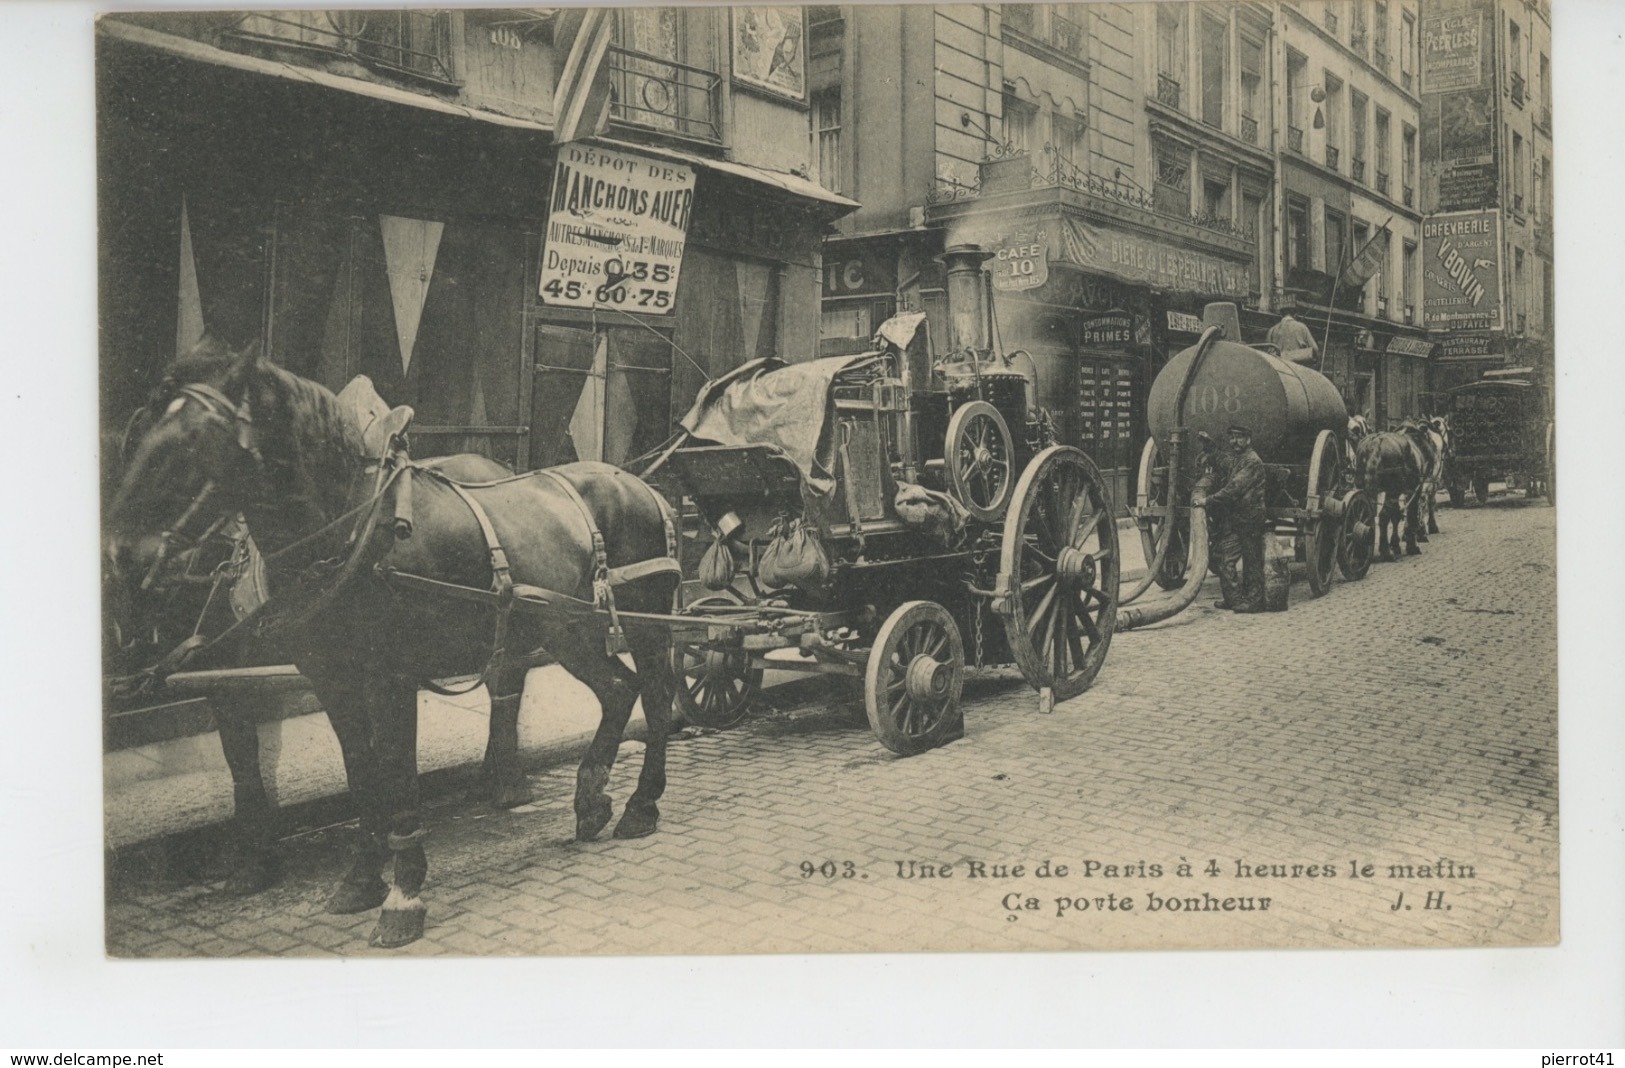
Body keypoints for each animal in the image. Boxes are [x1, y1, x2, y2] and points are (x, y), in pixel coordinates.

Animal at [106, 339, 679, 942]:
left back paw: (640, 806)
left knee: (656, 694)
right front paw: (360, 878)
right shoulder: (331, 679)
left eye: (196, 440)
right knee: (618, 689)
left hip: (641, 620)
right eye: (142, 431)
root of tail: (644, 486)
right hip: (566, 630)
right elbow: (361, 773)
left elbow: (398, 773)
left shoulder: (391, 677)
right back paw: (590, 800)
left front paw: (403, 894)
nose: (121, 554)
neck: (353, 530)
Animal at [1345, 425, 1423, 559]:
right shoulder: (1413, 490)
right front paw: (1411, 546)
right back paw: (1385, 550)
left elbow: (1396, 515)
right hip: (1393, 490)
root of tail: (1376, 443)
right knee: (1383, 515)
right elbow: (1410, 515)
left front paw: (1396, 545)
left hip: (1364, 486)